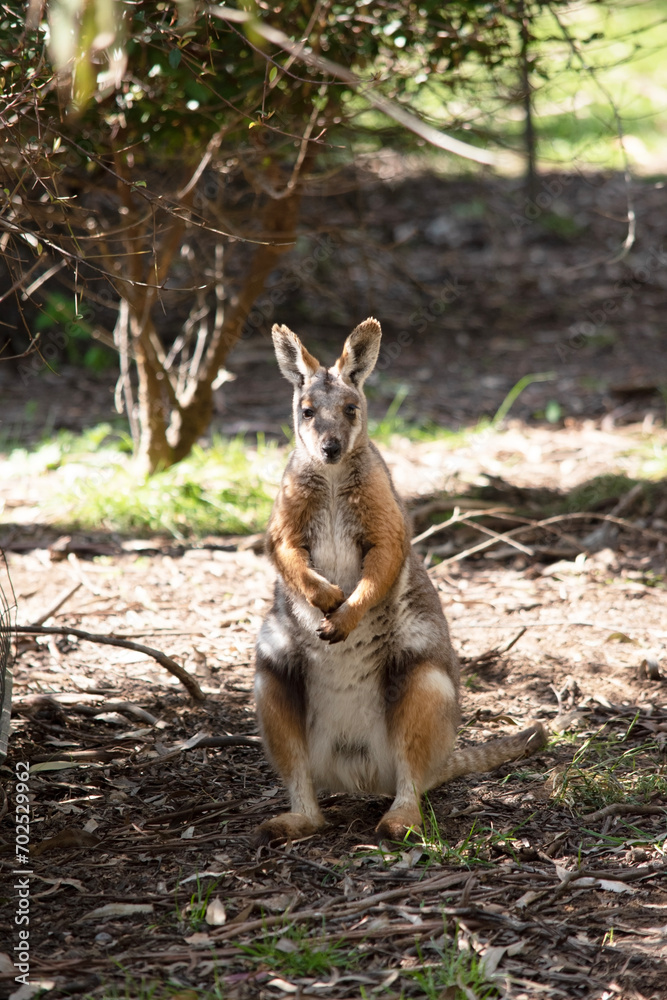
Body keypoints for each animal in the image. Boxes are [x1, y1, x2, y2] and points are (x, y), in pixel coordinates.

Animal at [254, 318, 546, 844]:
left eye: (352, 409)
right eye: (306, 412)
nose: (330, 448)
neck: (332, 478)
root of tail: (359, 775)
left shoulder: (386, 523)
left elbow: (385, 558)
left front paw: (342, 613)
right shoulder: (286, 521)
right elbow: (285, 554)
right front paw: (326, 597)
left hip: (421, 676)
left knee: (412, 771)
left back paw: (400, 821)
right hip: (274, 674)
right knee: (302, 780)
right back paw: (290, 821)